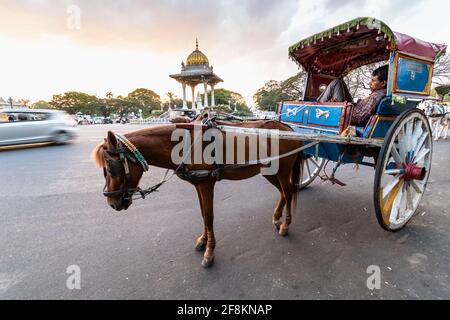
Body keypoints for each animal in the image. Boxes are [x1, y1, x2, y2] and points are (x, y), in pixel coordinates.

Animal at [91, 120, 302, 268]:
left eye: (110, 167)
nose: (112, 202)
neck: (186, 145)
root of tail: (289, 128)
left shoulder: (206, 183)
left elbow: (208, 216)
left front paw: (209, 252)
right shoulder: (199, 184)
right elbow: (202, 214)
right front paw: (203, 240)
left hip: (283, 170)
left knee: (289, 192)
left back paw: (285, 224)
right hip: (270, 171)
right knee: (283, 192)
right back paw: (276, 217)